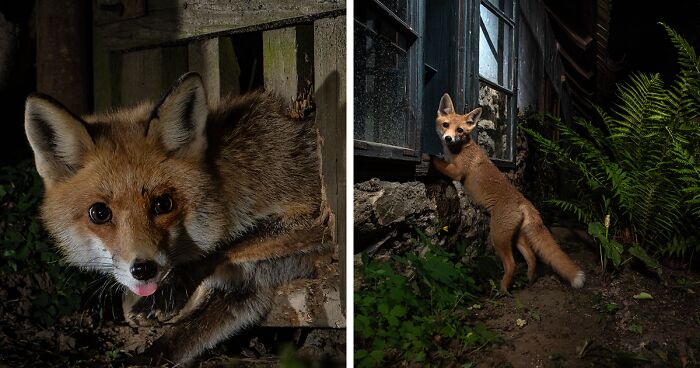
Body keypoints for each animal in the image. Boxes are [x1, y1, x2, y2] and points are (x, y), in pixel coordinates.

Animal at [21, 72, 328, 362]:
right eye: (99, 213)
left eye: (163, 204)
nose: (143, 270)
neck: (229, 185)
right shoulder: (247, 291)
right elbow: (177, 342)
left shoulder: (315, 215)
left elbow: (226, 249)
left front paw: (168, 292)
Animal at [432, 94, 584, 294]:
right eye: (445, 124)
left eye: (459, 130)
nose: (448, 138)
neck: (460, 149)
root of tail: (524, 201)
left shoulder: (457, 172)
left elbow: (436, 161)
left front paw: (426, 158)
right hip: (516, 237)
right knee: (532, 258)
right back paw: (529, 282)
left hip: (498, 237)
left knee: (512, 264)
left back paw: (503, 290)